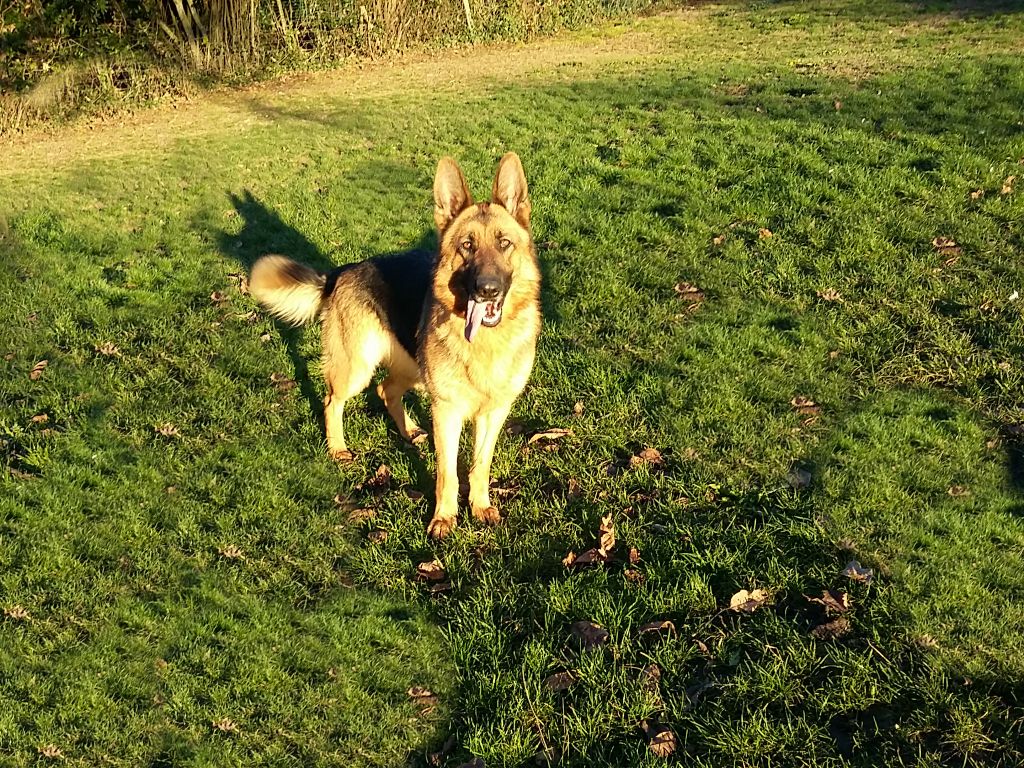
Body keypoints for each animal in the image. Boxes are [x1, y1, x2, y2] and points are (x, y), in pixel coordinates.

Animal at [248, 153, 540, 536]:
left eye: (504, 243)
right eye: (467, 246)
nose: (487, 290)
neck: (486, 344)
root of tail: (341, 272)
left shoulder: (494, 412)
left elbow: (480, 466)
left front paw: (479, 507)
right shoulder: (447, 412)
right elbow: (447, 473)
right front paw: (444, 518)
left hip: (413, 369)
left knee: (386, 389)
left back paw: (410, 430)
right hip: (357, 369)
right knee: (332, 401)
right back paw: (338, 448)